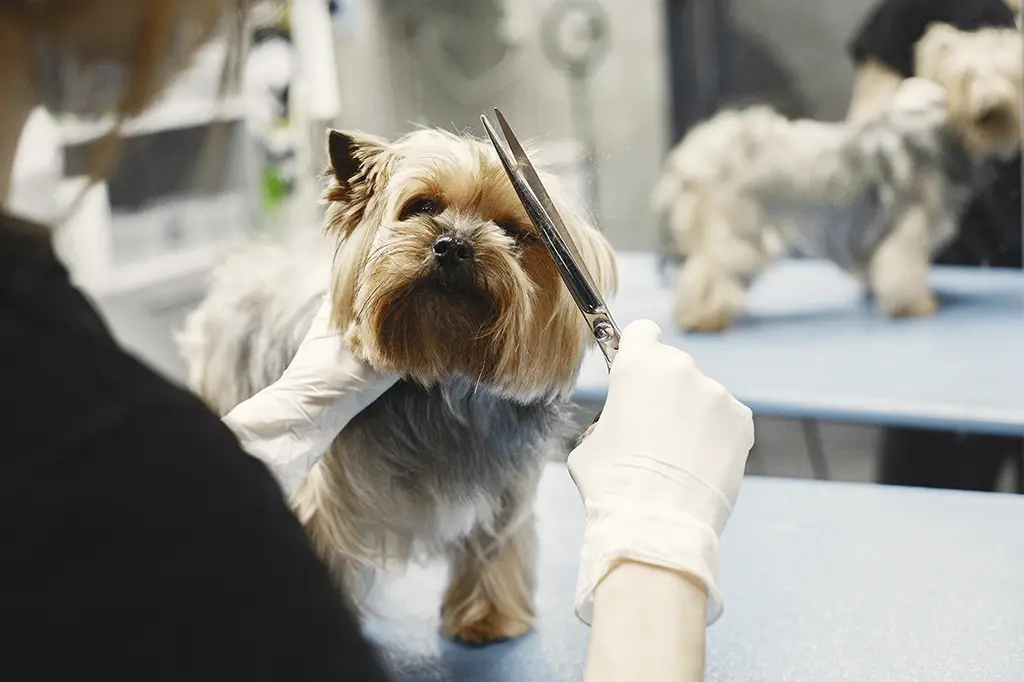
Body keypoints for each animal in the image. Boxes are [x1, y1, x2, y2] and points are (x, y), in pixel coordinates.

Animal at [178, 127, 614, 643]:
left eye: (512, 231)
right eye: (422, 207)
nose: (452, 245)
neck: (442, 380)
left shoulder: (505, 484)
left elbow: (494, 542)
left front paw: (488, 618)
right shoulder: (324, 494)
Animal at [651, 25, 1019, 333]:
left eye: (1008, 75)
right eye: (967, 77)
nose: (989, 106)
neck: (939, 134)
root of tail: (691, 155)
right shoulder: (907, 230)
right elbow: (903, 271)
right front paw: (915, 305)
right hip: (737, 230)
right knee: (707, 270)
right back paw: (703, 317)